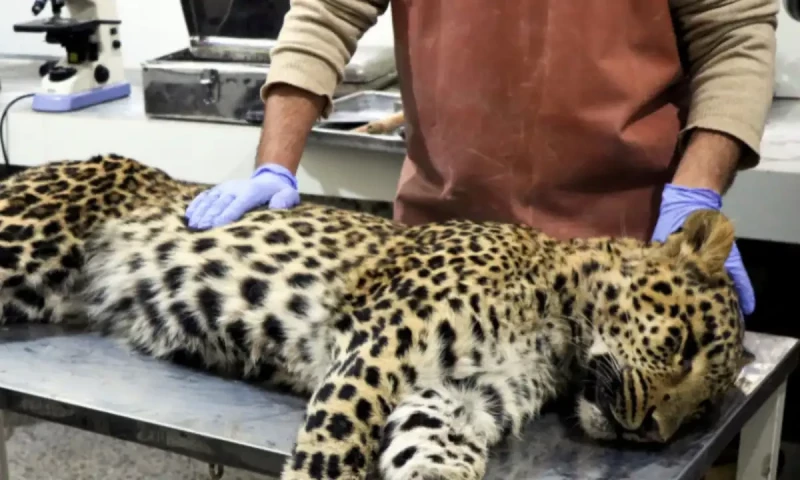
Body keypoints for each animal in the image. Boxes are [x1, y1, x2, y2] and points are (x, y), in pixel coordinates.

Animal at [0, 154, 754, 480]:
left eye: (700, 414)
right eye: (682, 345)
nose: (653, 433)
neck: (557, 333)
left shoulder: (456, 398)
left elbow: (435, 458)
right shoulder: (377, 350)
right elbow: (334, 450)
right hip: (23, 241)